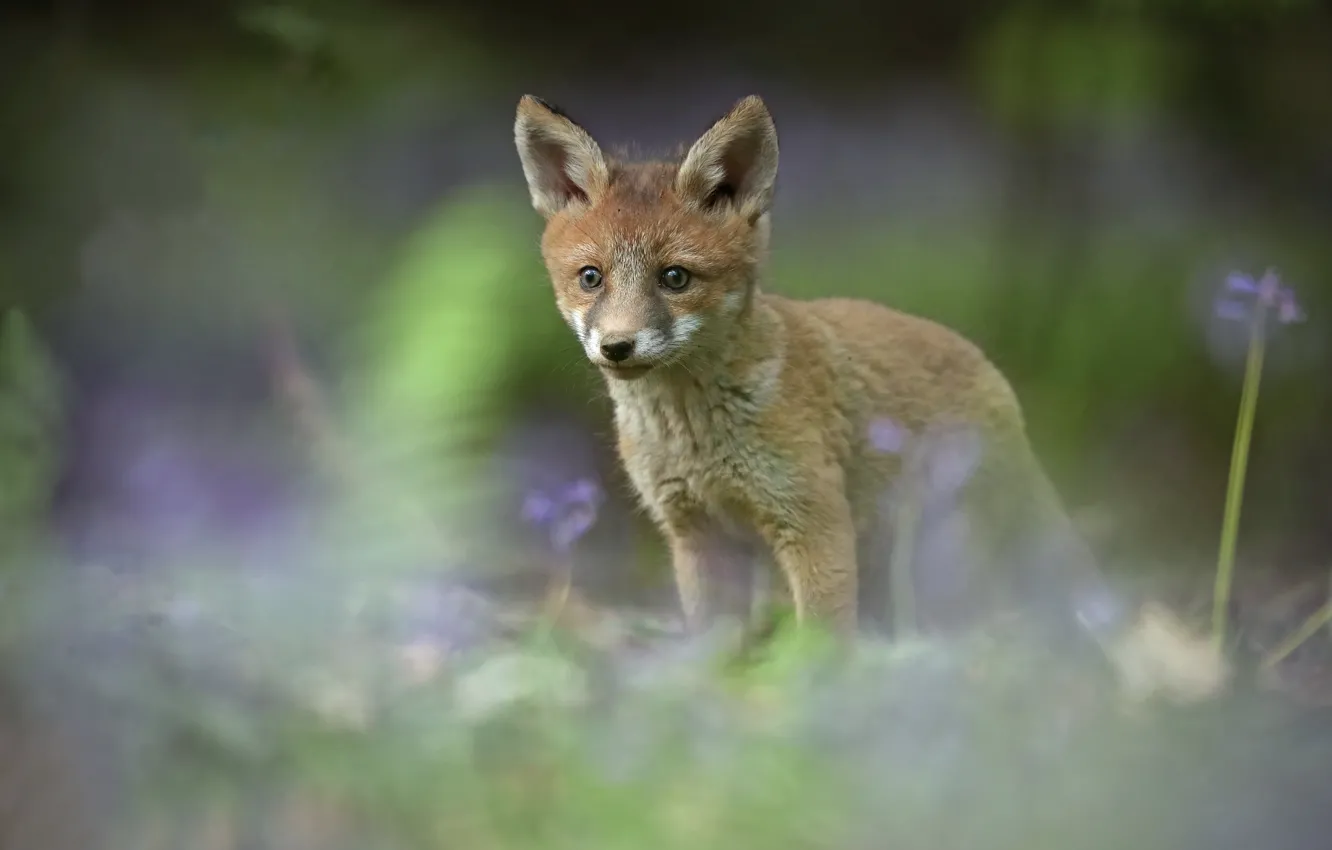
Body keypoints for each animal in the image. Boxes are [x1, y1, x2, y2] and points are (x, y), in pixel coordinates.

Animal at [514, 93, 1229, 703]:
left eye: (674, 278)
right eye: (590, 278)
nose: (617, 346)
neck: (698, 435)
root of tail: (994, 379)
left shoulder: (814, 525)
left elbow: (822, 646)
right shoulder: (695, 536)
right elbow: (716, 650)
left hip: (942, 560)